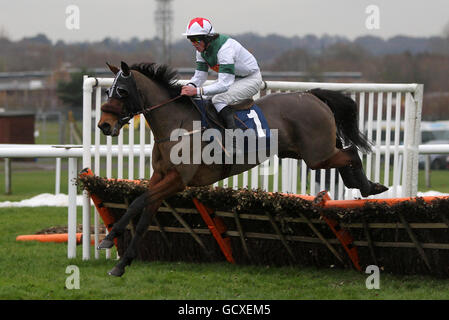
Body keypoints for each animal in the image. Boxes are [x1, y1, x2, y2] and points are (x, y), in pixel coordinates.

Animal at [96, 61, 386, 276]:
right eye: (108, 92)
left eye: (121, 91)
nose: (104, 125)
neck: (177, 126)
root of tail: (312, 95)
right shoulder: (161, 177)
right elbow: (144, 215)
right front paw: (121, 264)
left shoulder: (178, 180)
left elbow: (138, 202)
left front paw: (108, 238)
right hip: (310, 152)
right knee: (346, 154)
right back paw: (364, 185)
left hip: (317, 155)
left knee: (351, 152)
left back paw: (369, 186)